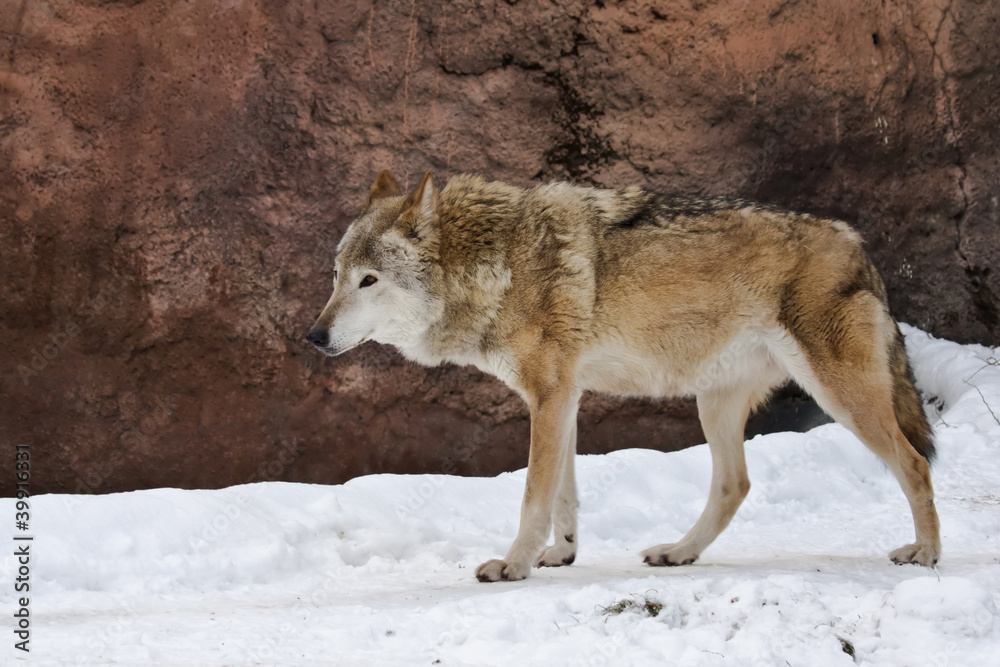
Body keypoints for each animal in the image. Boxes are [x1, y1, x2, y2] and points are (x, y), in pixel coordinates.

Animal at [307, 170, 941, 582]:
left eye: (369, 280)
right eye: (337, 276)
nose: (313, 336)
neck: (496, 264)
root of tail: (857, 242)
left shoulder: (550, 397)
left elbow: (533, 496)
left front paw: (512, 565)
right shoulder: (563, 399)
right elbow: (563, 494)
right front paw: (560, 555)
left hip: (839, 397)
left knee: (914, 464)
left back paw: (927, 553)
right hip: (713, 404)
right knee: (735, 485)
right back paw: (679, 553)